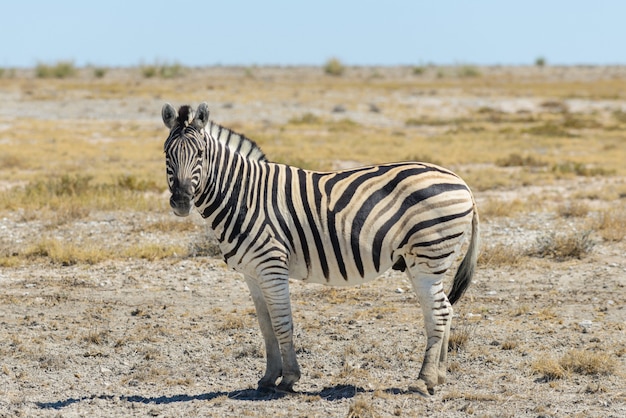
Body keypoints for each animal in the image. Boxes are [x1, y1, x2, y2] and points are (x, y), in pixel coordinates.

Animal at [161, 102, 478, 396]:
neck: (243, 196)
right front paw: (268, 379)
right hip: (420, 262)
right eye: (167, 155)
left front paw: (289, 379)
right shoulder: (252, 273)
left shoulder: (271, 267)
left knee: (438, 312)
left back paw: (424, 381)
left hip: (429, 257)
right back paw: (439, 376)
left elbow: (282, 324)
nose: (181, 202)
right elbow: (265, 326)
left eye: (200, 154)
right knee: (443, 309)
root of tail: (460, 181)